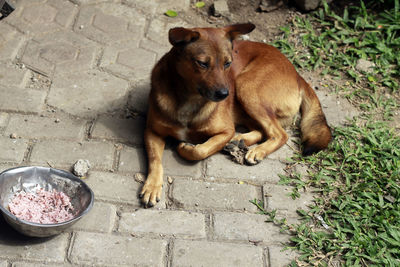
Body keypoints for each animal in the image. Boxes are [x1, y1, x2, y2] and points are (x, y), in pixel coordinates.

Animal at [141, 23, 332, 207]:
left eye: (228, 63)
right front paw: (152, 186)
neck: (189, 98)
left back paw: (256, 150)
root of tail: (298, 75)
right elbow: (155, 160)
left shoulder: (226, 130)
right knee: (262, 130)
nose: (224, 94)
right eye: (202, 63)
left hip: (246, 86)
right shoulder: (152, 131)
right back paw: (239, 141)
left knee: (280, 134)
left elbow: (201, 150)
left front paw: (187, 148)